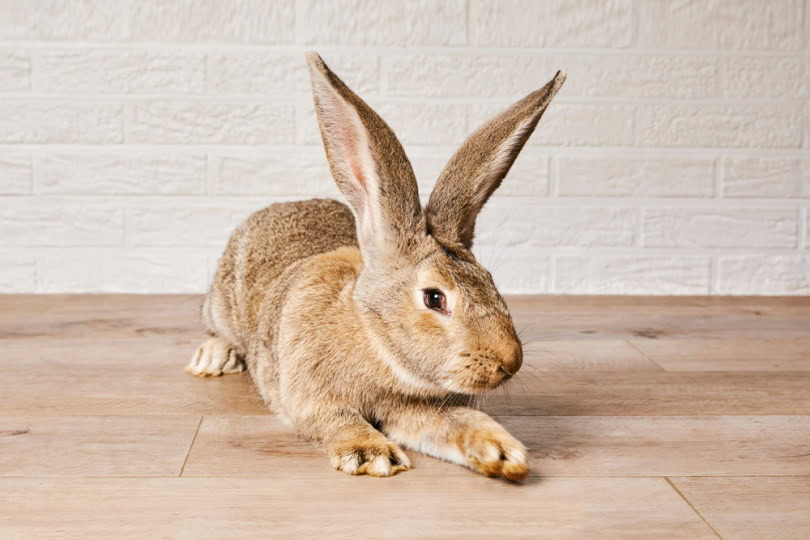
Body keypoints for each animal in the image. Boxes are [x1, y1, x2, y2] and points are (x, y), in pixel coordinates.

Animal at [186, 52, 566, 480]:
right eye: (434, 298)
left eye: (490, 279)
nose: (510, 361)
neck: (374, 341)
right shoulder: (311, 397)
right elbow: (336, 421)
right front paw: (371, 454)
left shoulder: (411, 408)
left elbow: (453, 422)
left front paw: (501, 451)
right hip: (222, 304)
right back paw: (212, 359)